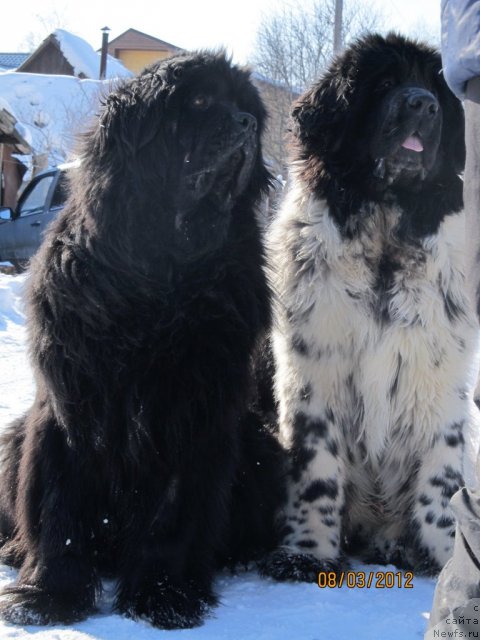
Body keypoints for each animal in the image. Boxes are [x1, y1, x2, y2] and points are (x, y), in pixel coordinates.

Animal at [0, 51, 284, 632]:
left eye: (245, 106)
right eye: (199, 100)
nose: (246, 123)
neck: (160, 274)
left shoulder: (190, 414)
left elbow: (172, 515)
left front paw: (163, 595)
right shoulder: (69, 408)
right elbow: (59, 510)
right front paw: (48, 596)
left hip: (263, 449)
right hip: (12, 438)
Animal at [262, 32, 480, 580]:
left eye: (435, 91)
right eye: (383, 84)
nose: (422, 104)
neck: (386, 225)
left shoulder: (441, 383)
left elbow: (441, 482)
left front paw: (448, 558)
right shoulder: (314, 375)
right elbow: (316, 472)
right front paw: (307, 552)